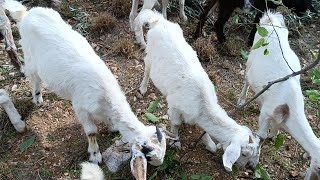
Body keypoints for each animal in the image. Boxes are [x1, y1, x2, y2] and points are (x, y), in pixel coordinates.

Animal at [135, 8, 262, 172]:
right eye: (244, 154)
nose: (251, 167)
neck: (203, 105)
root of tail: (157, 20)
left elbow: (205, 132)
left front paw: (211, 145)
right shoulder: (175, 107)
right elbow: (175, 124)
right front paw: (176, 143)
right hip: (150, 53)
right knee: (146, 69)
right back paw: (143, 88)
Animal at [238, 10, 320, 179]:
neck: (289, 108)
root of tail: (270, 20)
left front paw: (273, 135)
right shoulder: (266, 113)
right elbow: (260, 136)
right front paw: (254, 163)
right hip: (251, 56)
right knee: (246, 78)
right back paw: (241, 101)